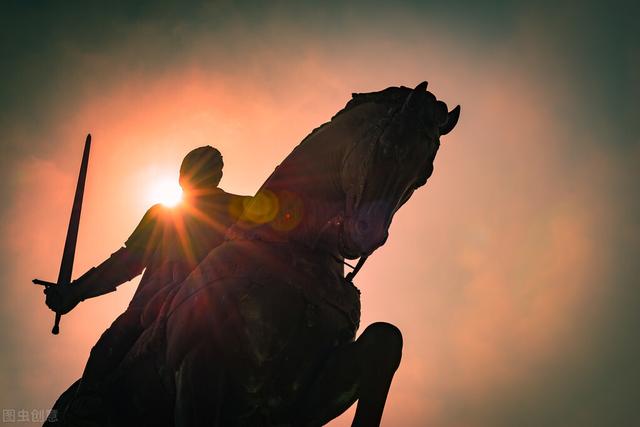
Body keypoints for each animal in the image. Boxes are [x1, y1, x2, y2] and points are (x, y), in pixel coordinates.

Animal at [50, 82, 460, 426]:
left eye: (424, 174)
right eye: (389, 147)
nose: (367, 235)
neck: (295, 255)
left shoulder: (296, 399)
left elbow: (385, 340)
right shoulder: (201, 364)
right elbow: (130, 257)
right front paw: (63, 297)